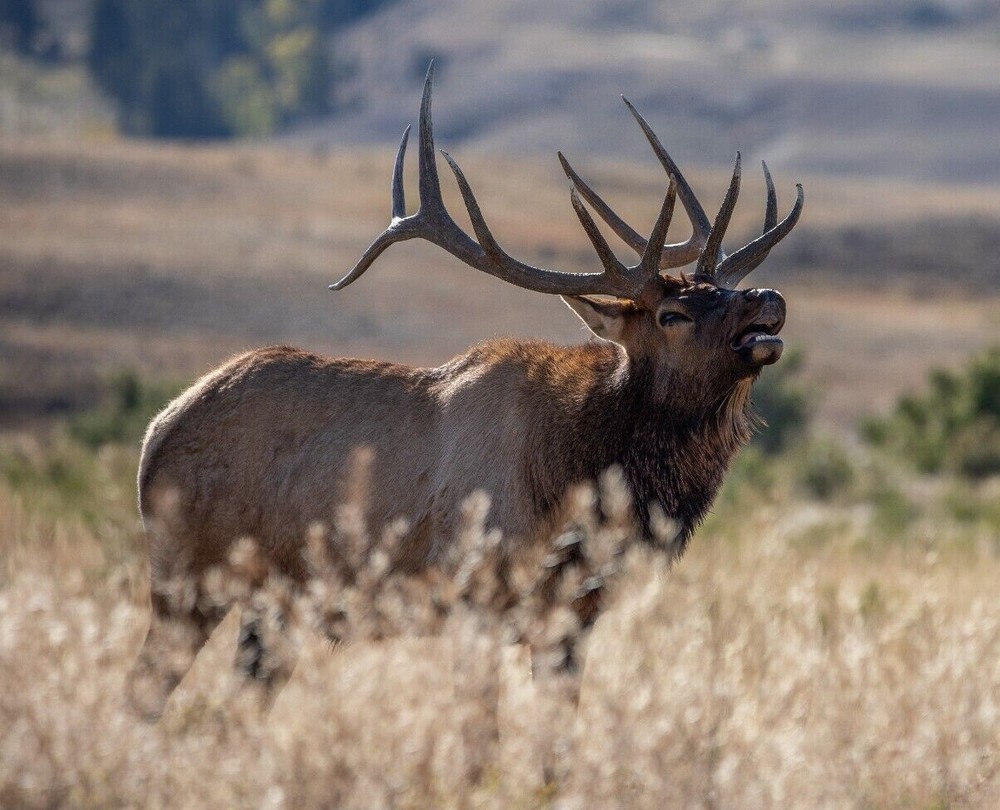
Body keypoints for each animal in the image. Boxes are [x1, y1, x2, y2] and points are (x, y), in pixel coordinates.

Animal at [126, 65, 803, 723]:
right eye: (672, 315)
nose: (767, 298)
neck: (575, 476)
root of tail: (157, 432)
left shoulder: (571, 620)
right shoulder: (472, 603)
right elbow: (480, 737)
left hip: (273, 604)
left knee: (238, 702)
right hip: (186, 576)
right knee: (145, 692)